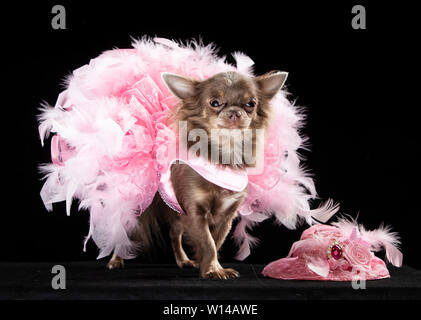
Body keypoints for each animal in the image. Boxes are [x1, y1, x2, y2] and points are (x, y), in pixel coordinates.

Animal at [106, 70, 288, 280]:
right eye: (215, 102)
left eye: (250, 104)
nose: (235, 112)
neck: (224, 156)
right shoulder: (195, 212)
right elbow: (208, 243)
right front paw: (213, 269)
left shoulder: (225, 216)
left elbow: (215, 242)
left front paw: (208, 266)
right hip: (137, 209)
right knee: (122, 232)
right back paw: (115, 260)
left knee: (174, 233)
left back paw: (183, 260)